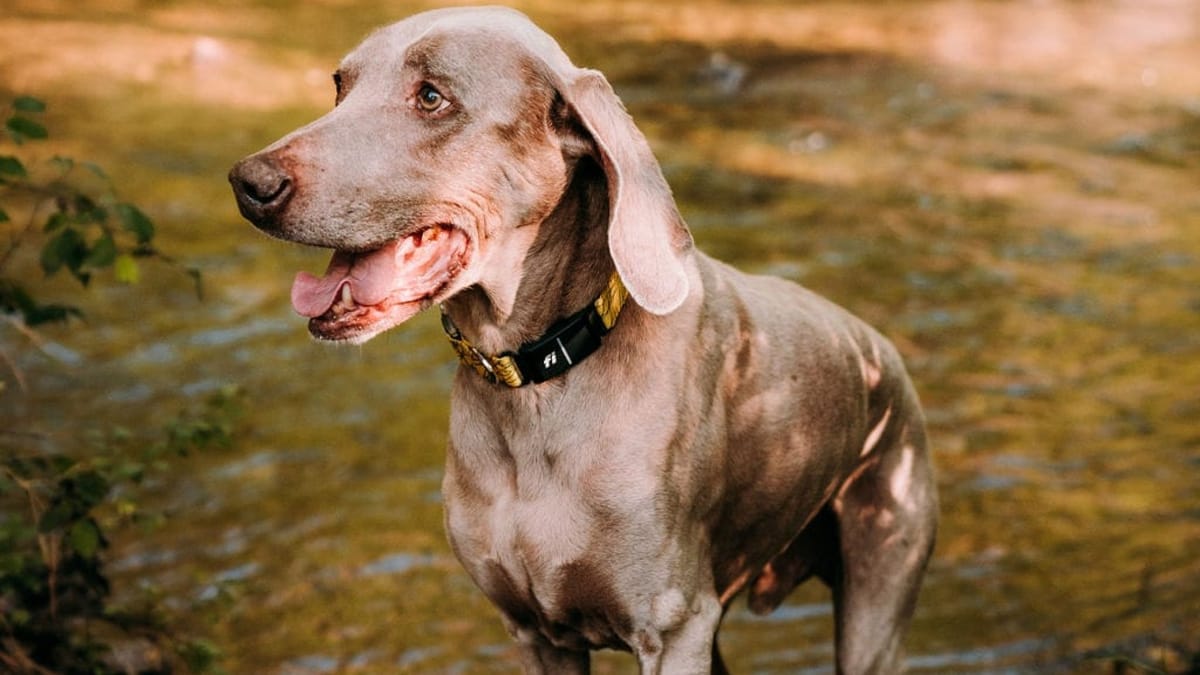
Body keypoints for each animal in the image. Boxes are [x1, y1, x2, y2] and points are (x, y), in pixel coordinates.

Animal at [226, 6, 936, 672]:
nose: (249, 183)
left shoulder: (672, 628)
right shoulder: (536, 633)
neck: (535, 379)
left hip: (877, 578)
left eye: (431, 96)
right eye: (339, 86)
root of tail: (879, 348)